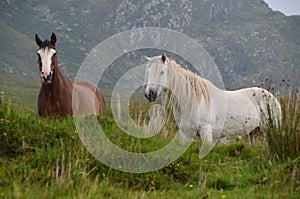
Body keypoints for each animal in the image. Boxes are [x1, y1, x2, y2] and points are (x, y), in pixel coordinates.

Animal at [144, 54, 282, 146]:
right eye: (148, 72)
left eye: (162, 72)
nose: (149, 94)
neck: (191, 100)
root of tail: (273, 98)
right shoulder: (185, 133)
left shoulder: (206, 132)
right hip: (253, 131)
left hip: (270, 128)